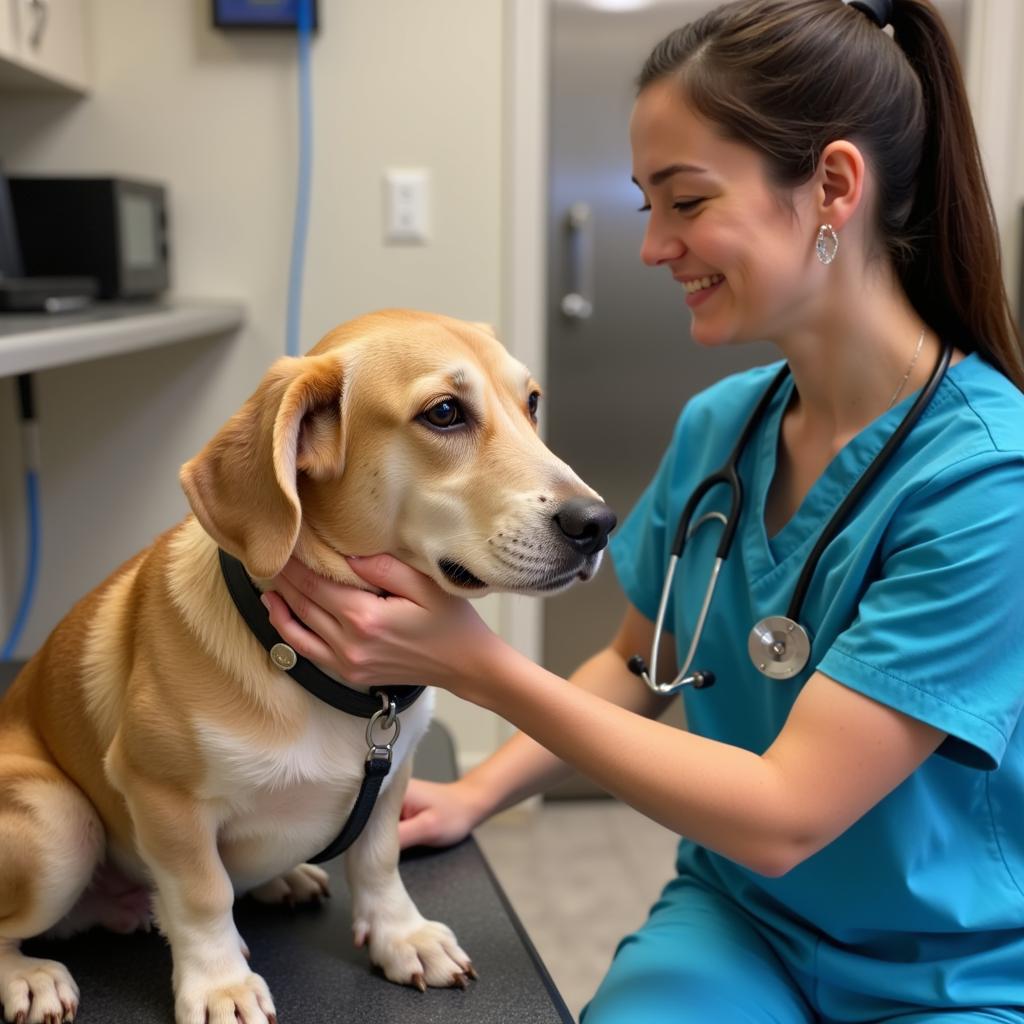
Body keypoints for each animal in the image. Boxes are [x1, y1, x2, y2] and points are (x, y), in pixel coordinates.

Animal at [0, 309, 610, 1024]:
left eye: (532, 402)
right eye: (444, 413)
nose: (599, 523)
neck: (335, 684)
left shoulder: (392, 775)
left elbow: (379, 861)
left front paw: (401, 936)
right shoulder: (160, 793)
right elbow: (202, 894)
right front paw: (220, 984)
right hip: (57, 820)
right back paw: (29, 976)